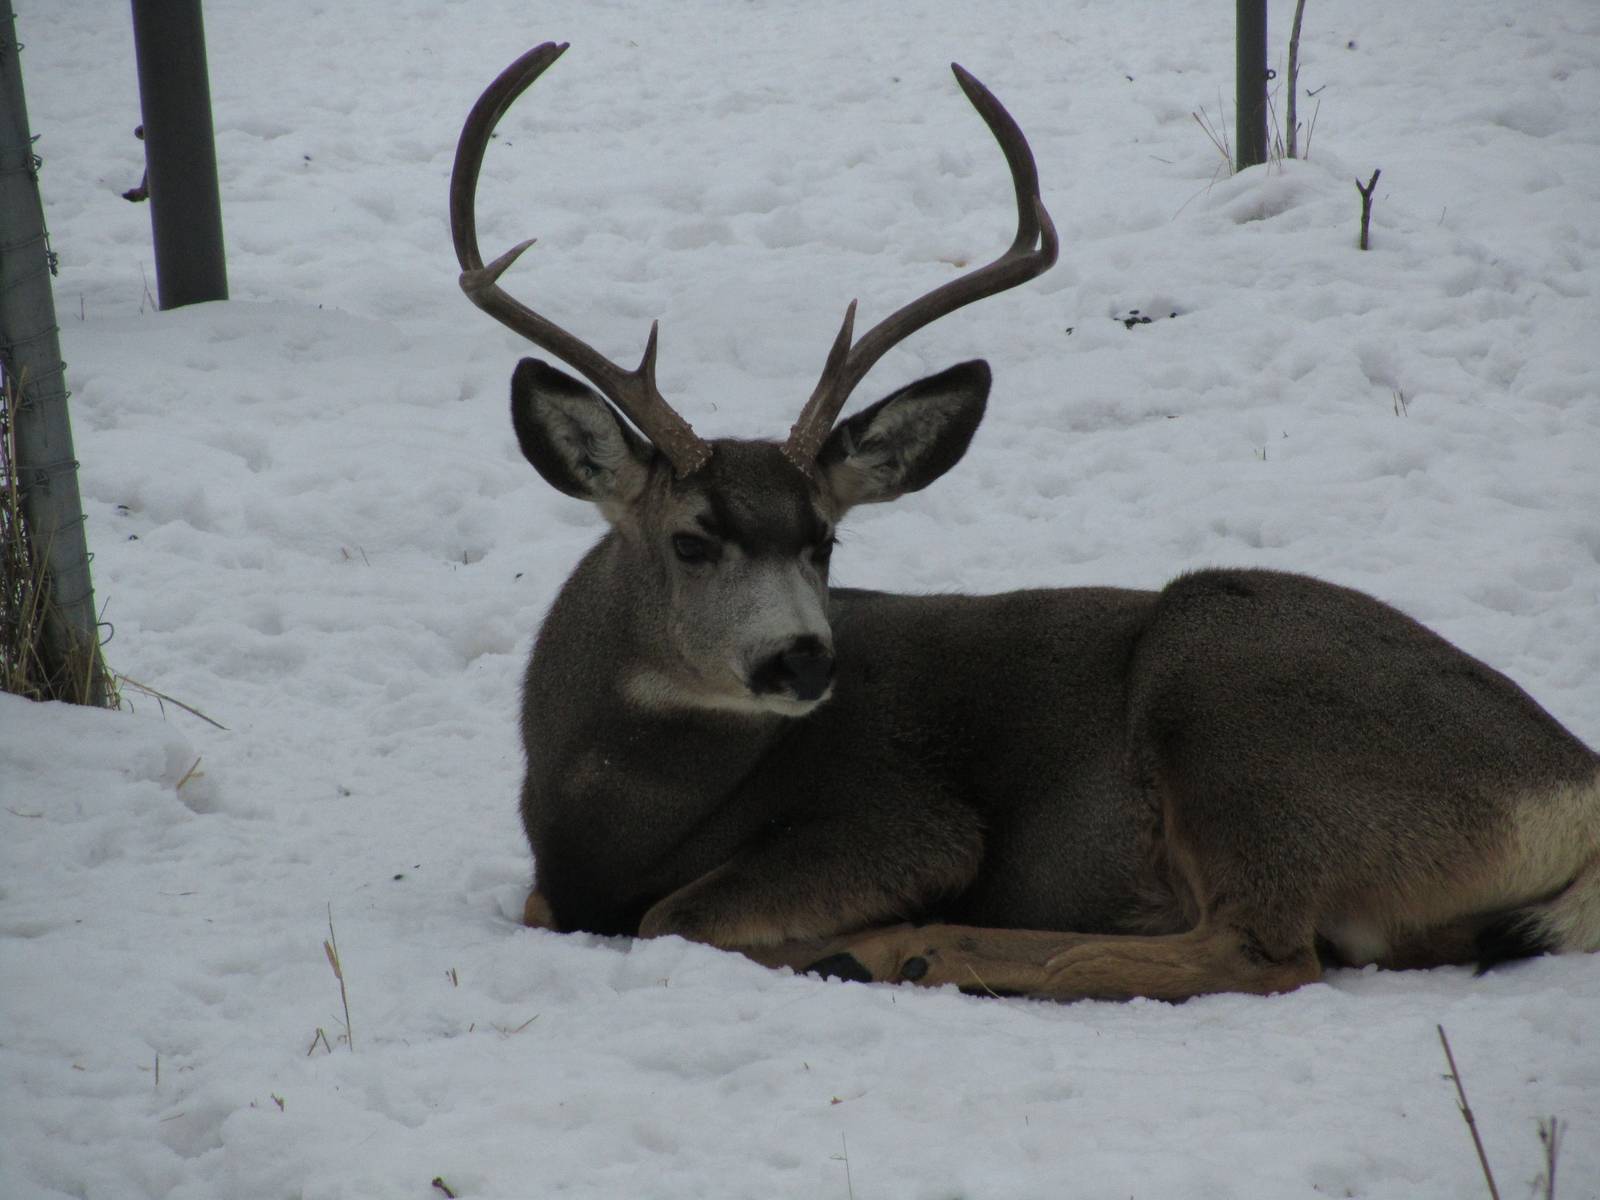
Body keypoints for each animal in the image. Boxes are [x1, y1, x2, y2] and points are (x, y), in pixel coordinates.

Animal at [450, 42, 1600, 1002]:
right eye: (692, 540)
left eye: (825, 543)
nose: (804, 659)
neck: (603, 815)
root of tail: (1571, 783)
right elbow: (553, 905)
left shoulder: (908, 819)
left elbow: (672, 917)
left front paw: (847, 938)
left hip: (1231, 694)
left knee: (1267, 952)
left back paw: (941, 952)